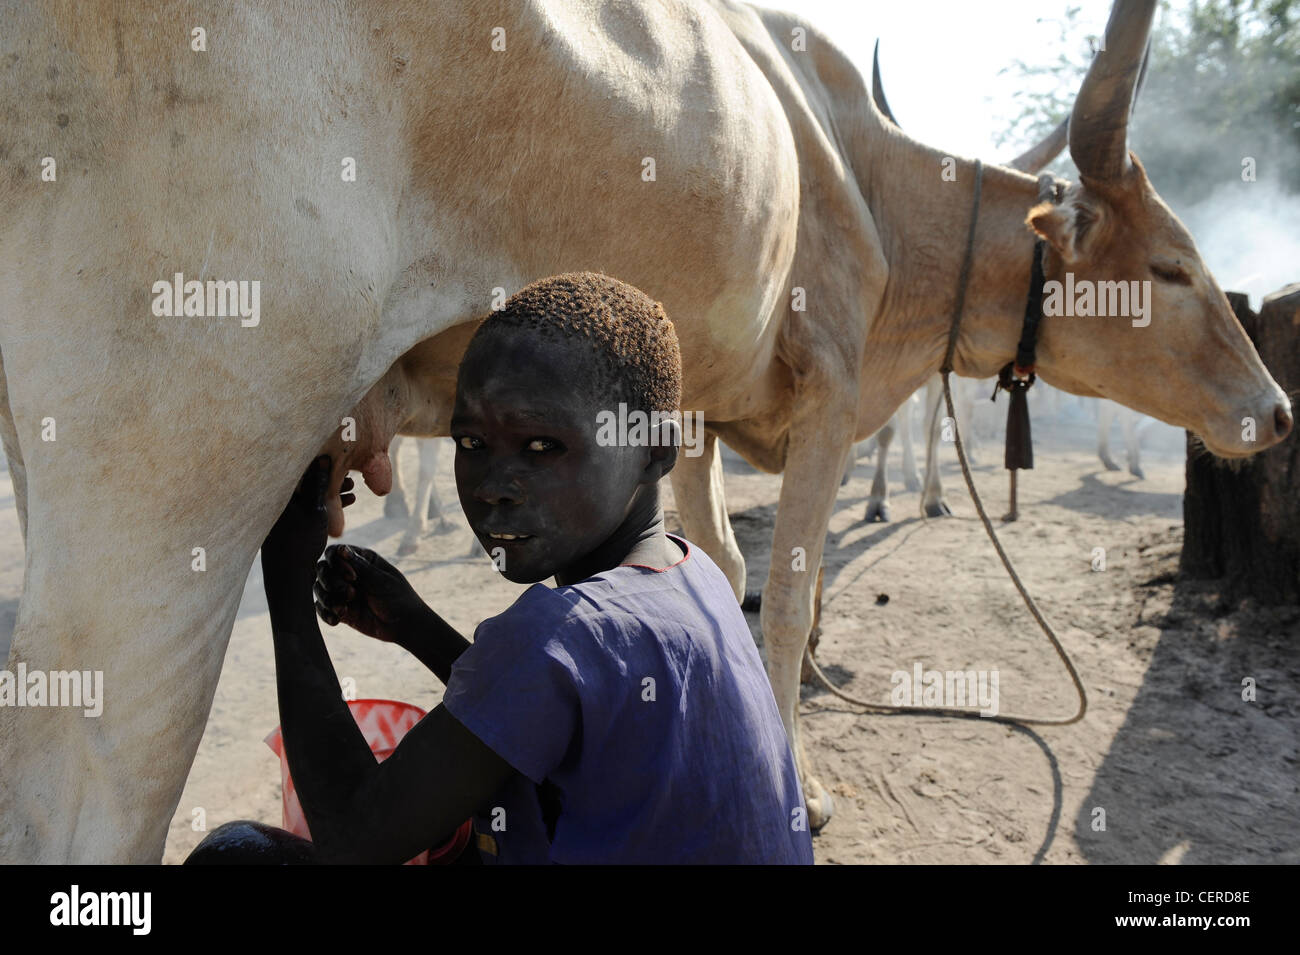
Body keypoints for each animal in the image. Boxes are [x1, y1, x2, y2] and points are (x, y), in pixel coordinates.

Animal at [0, 0, 1284, 862]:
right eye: (1172, 268)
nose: (1272, 411)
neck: (858, 172)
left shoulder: (701, 408)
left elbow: (714, 561)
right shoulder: (828, 388)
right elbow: (789, 597)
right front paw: (799, 786)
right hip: (182, 473)